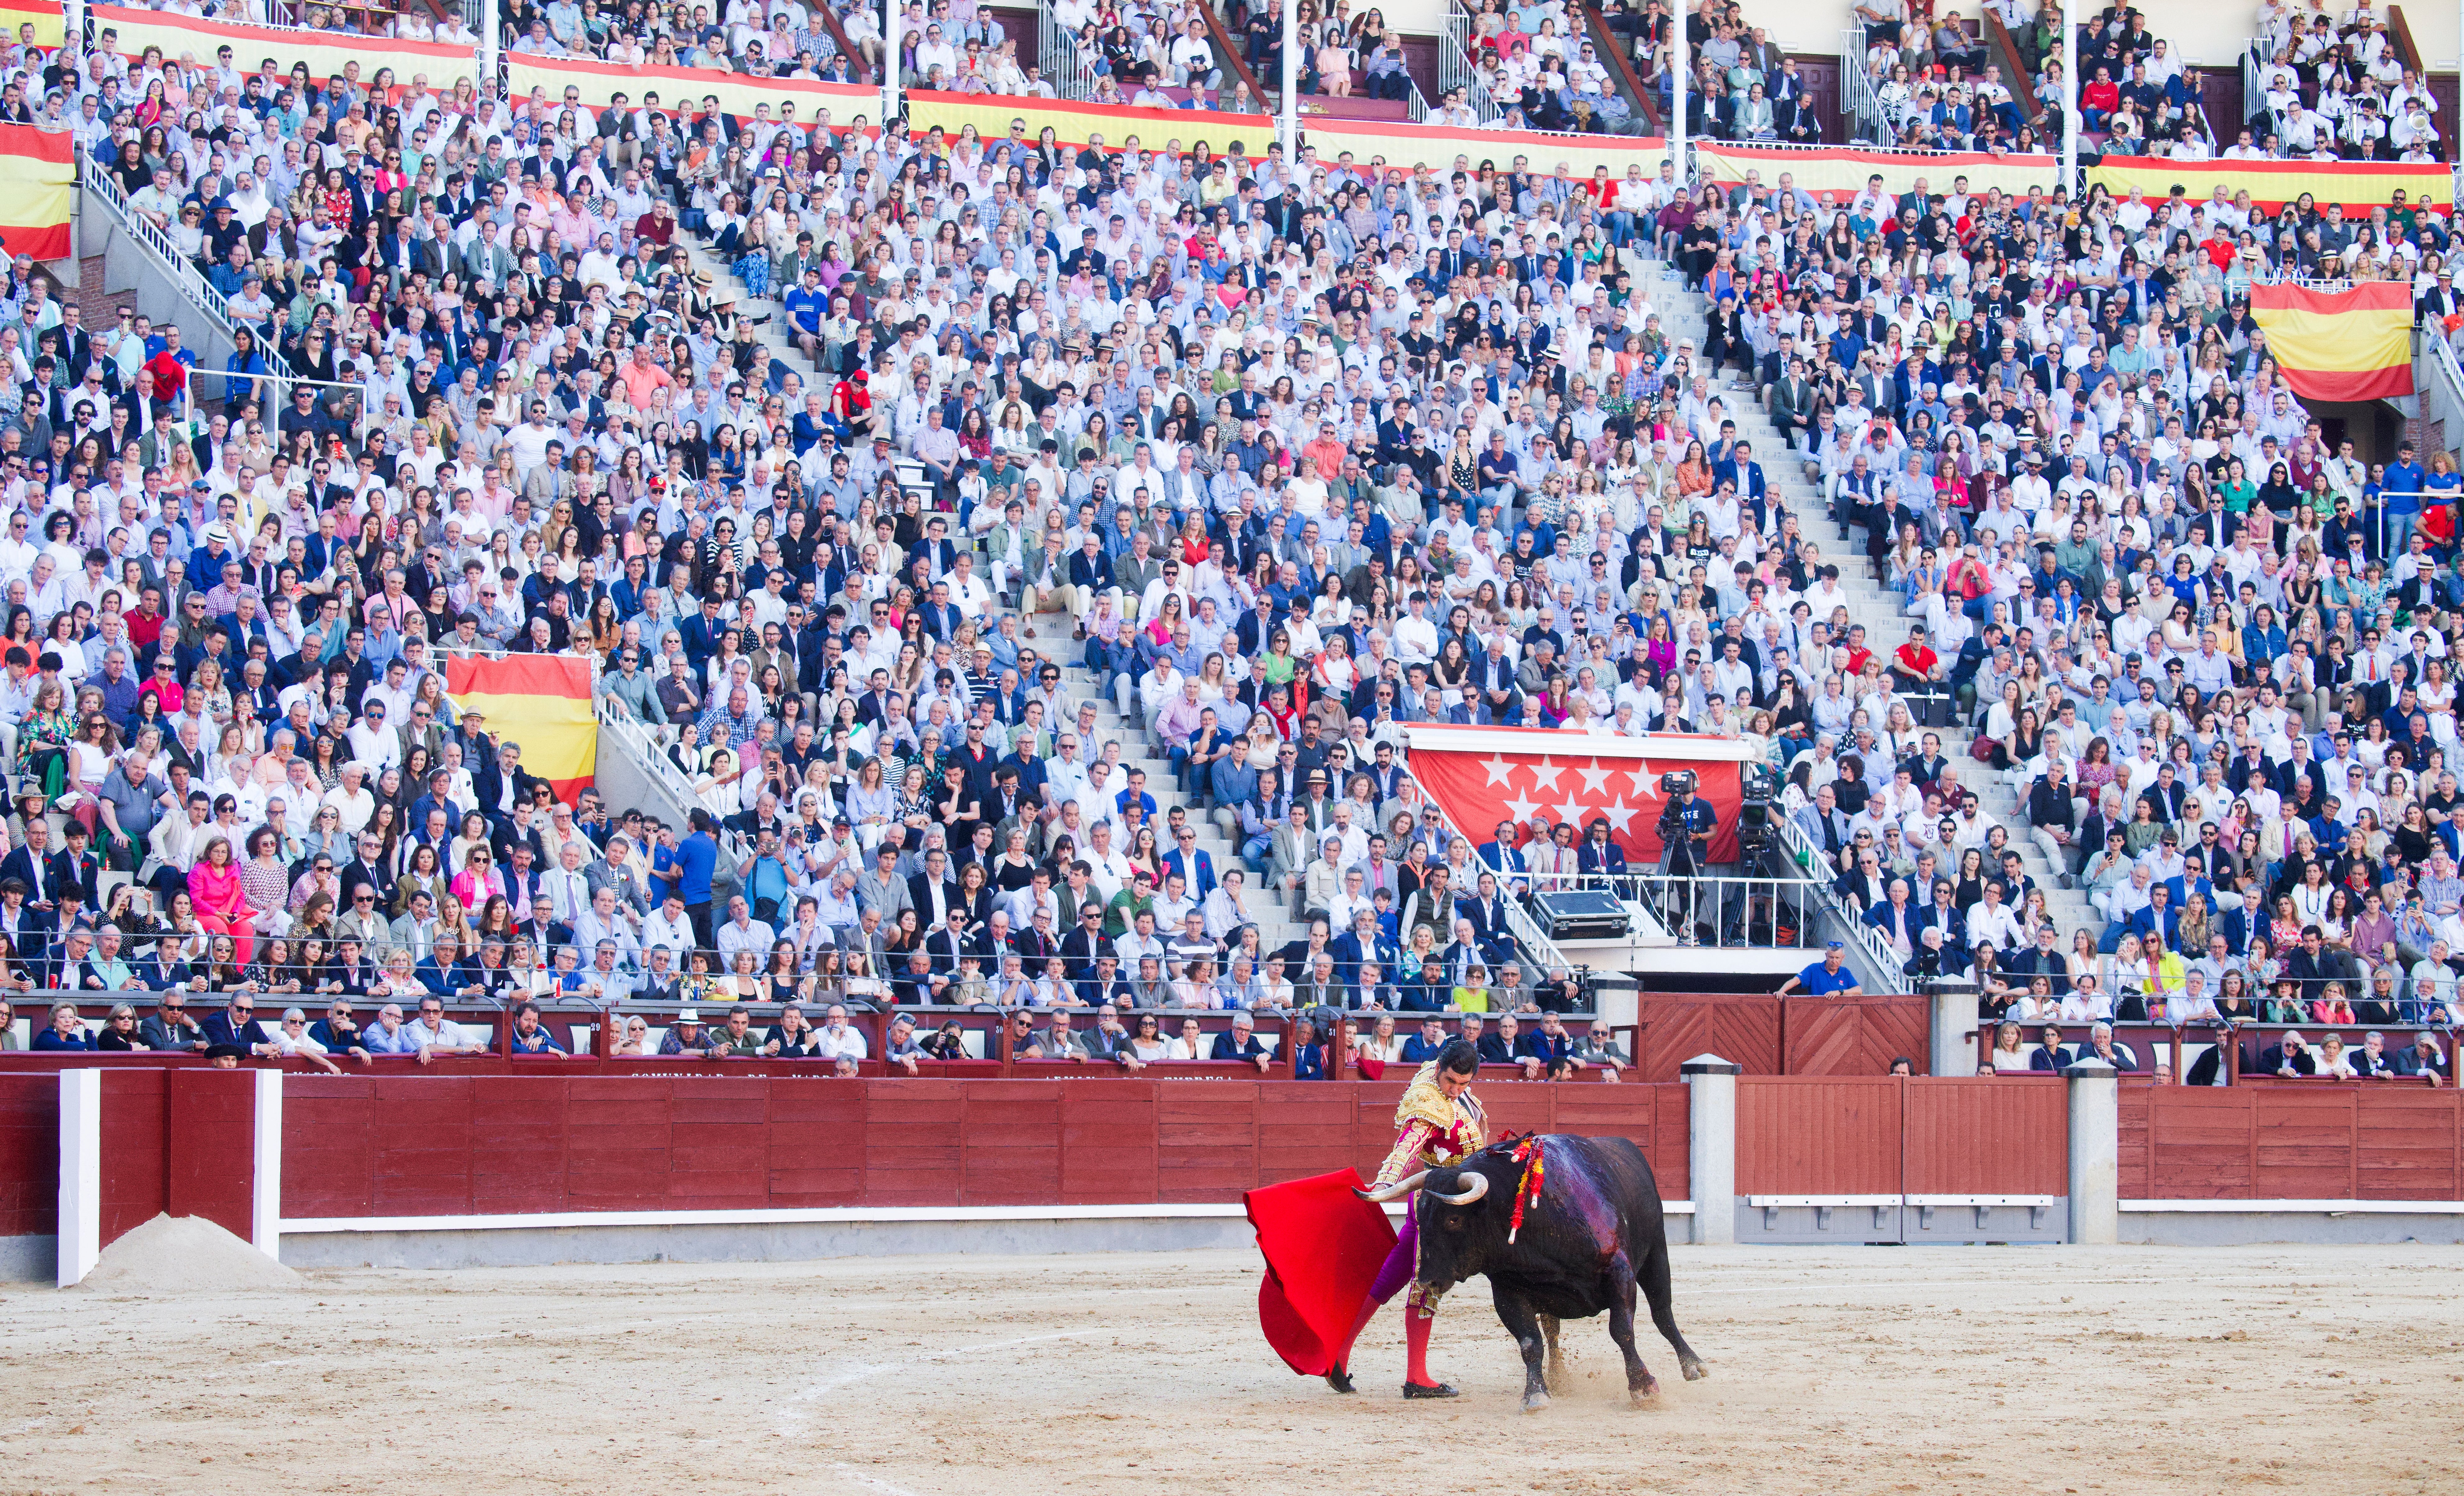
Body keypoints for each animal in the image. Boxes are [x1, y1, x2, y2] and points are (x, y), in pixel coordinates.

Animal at [1360, 1144, 1705, 1410]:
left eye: (1454, 1218)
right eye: (1419, 1216)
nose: (1427, 1280)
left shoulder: (1619, 1271)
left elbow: (1622, 1330)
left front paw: (1644, 1388)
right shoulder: (1508, 1290)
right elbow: (1530, 1342)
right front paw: (1536, 1394)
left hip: (1657, 1253)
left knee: (1662, 1312)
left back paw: (1693, 1365)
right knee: (1552, 1332)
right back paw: (1558, 1377)